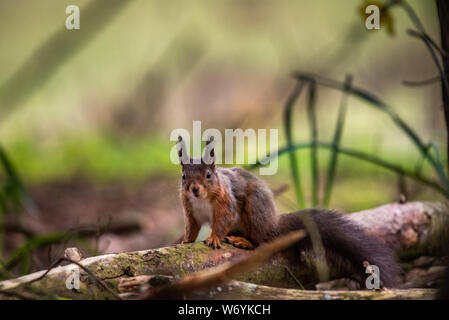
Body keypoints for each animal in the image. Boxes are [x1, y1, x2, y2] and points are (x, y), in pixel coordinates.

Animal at [173, 136, 398, 288]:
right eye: (183, 177)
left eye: (208, 175)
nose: (194, 189)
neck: (201, 200)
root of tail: (273, 223)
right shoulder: (189, 210)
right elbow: (192, 227)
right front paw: (184, 241)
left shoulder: (227, 204)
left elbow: (222, 222)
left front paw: (214, 238)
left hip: (255, 210)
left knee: (261, 241)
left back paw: (244, 241)